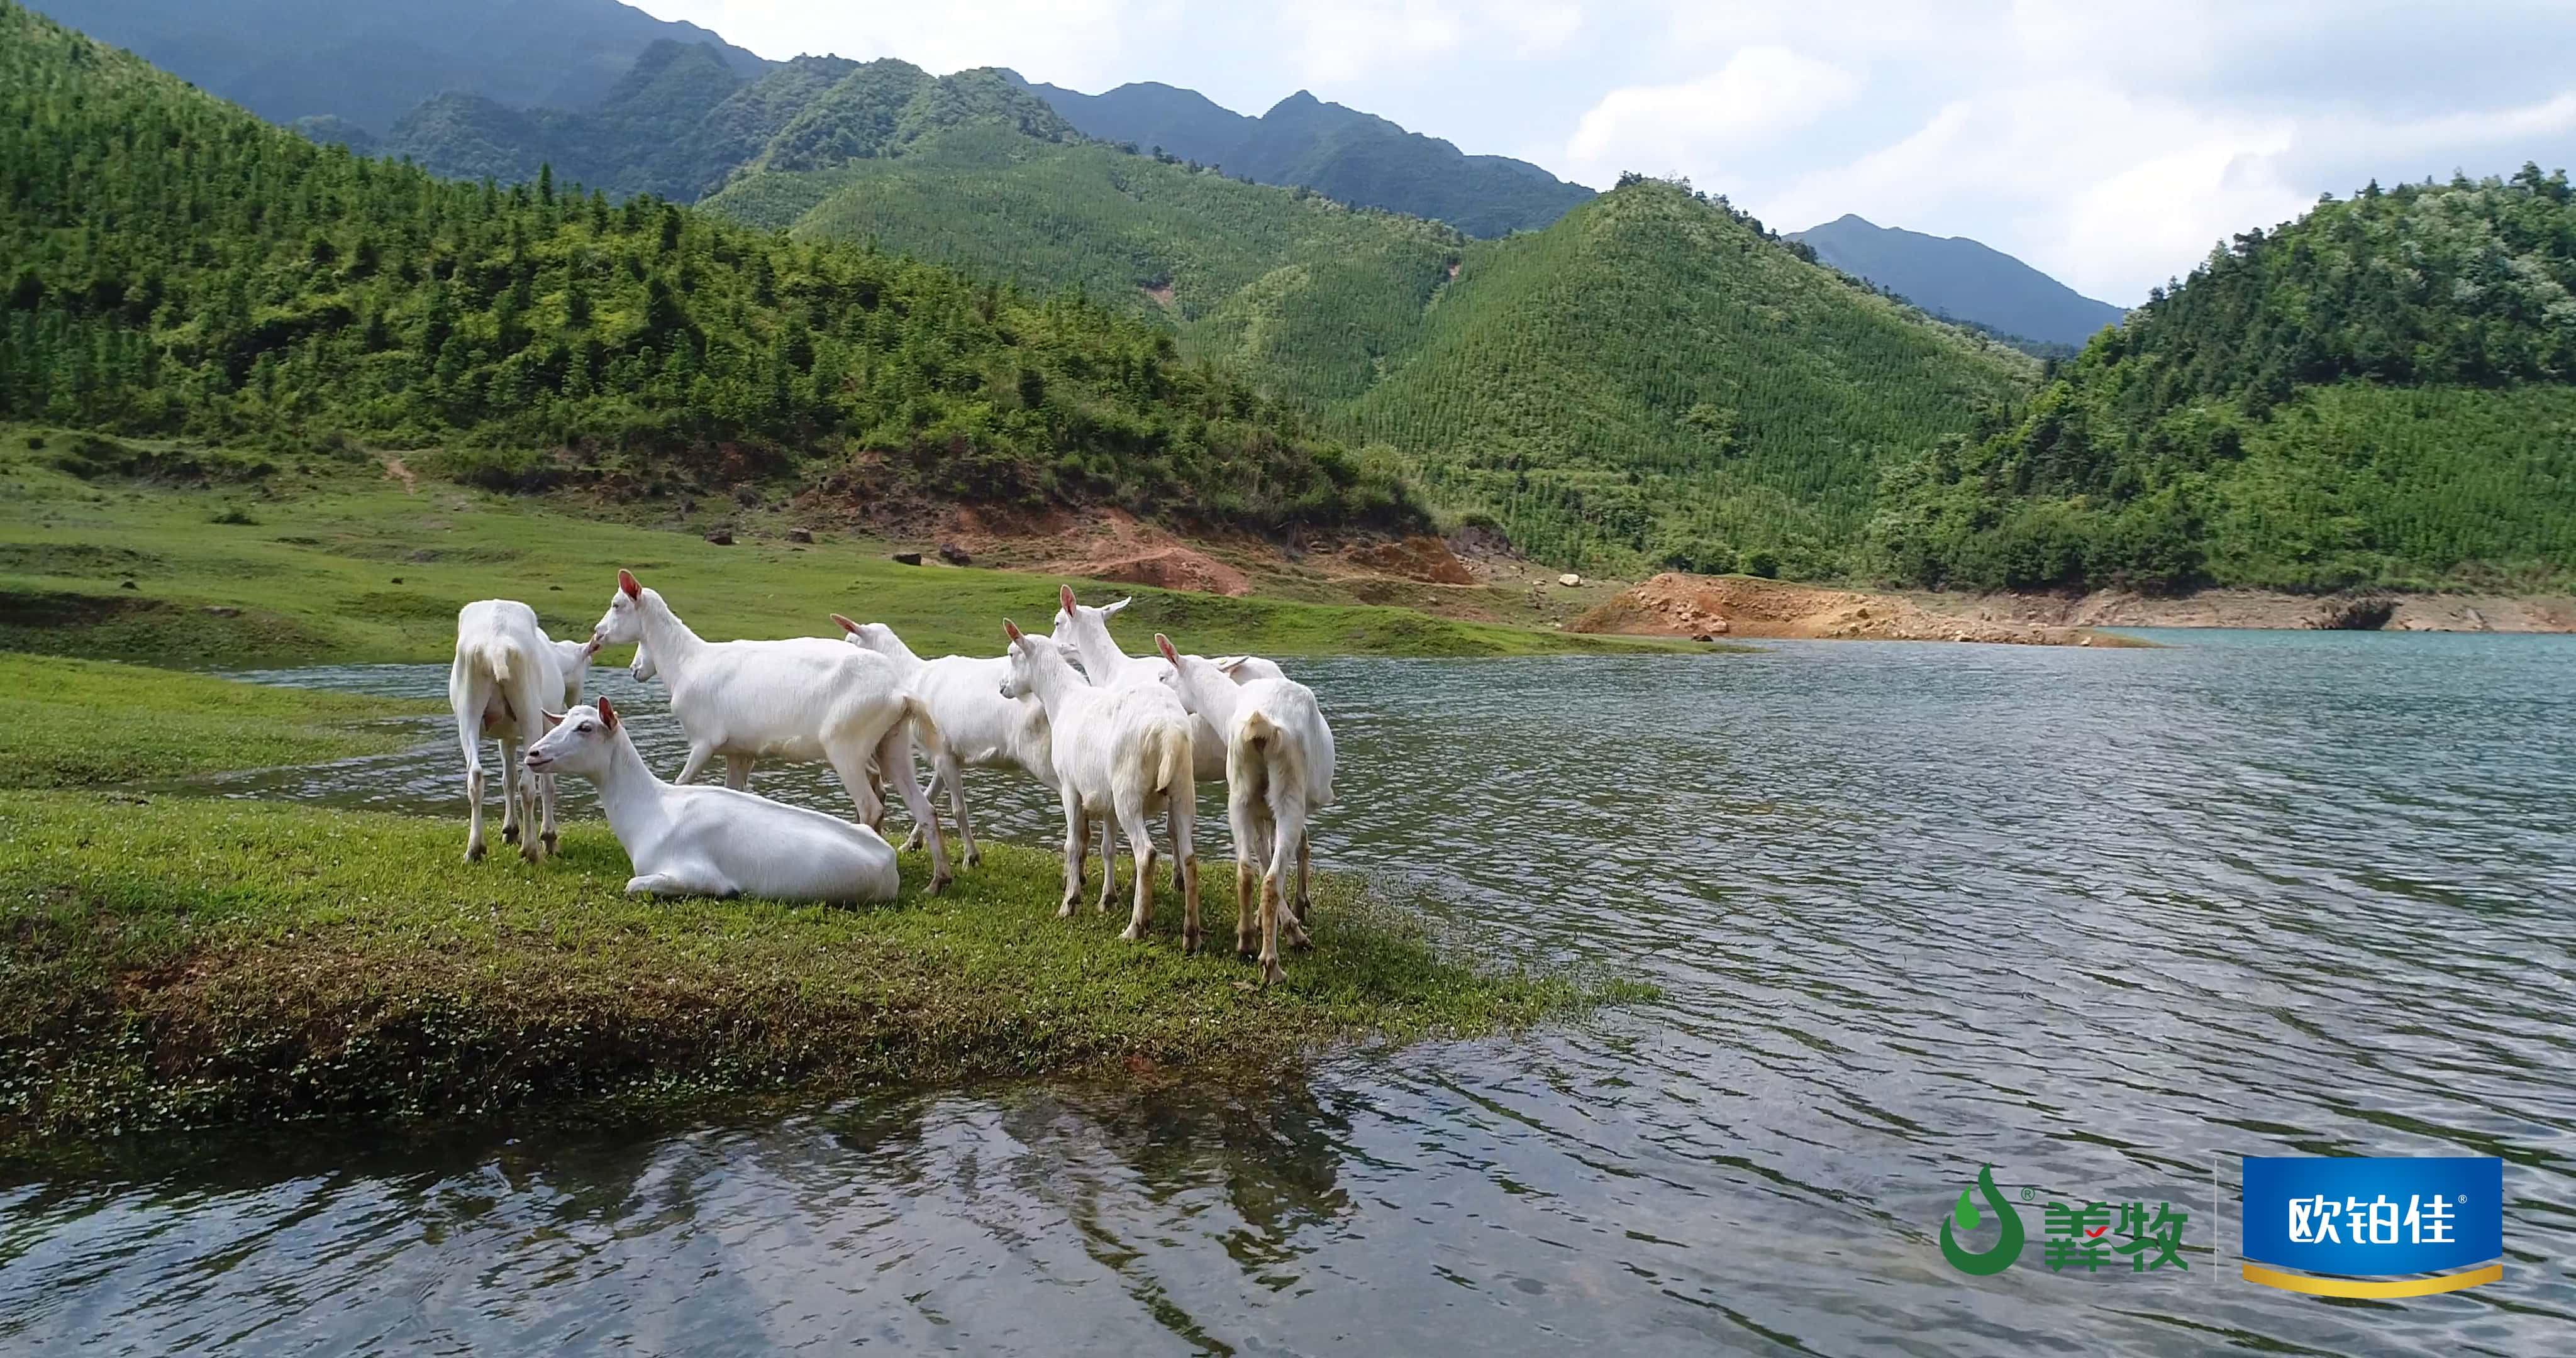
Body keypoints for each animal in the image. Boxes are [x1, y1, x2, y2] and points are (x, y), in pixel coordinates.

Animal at [455, 597, 595, 855]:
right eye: (588, 665)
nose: (579, 702)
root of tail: (497, 646)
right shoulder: (548, 729)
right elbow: (546, 784)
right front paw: (549, 837)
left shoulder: (507, 735)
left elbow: (507, 780)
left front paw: (510, 830)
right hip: (530, 710)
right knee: (528, 785)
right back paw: (531, 850)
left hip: (468, 708)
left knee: (476, 776)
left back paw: (475, 848)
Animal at [518, 700, 901, 902]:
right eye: (561, 722)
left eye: (585, 728)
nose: (534, 753)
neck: (652, 809)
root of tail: (890, 859)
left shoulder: (693, 873)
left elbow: (633, 885)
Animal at [589, 575, 953, 892]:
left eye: (617, 604)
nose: (597, 636)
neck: (687, 663)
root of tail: (900, 693)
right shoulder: (740, 752)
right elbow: (734, 791)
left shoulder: (705, 741)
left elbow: (681, 783)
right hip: (892, 743)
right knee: (925, 809)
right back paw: (938, 882)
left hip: (846, 745)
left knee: (871, 806)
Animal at [1004, 621, 1205, 953]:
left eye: (1011, 654)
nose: (1002, 687)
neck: (1062, 700)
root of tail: (1170, 731)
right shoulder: (1107, 800)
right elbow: (1107, 849)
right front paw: (1107, 899)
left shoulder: (1070, 788)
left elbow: (1073, 844)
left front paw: (1070, 902)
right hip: (1181, 790)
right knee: (1189, 859)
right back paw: (1191, 934)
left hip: (1129, 792)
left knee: (1146, 854)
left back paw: (1136, 926)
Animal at [1159, 639, 1339, 989]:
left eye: (1162, 677)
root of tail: (1260, 726)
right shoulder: (1272, 811)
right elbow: (1282, 858)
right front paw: (1294, 927)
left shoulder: (1258, 811)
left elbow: (1263, 855)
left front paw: (1270, 923)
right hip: (1288, 794)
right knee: (1271, 877)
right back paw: (1272, 964)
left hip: (1239, 794)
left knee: (1245, 869)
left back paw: (1245, 941)